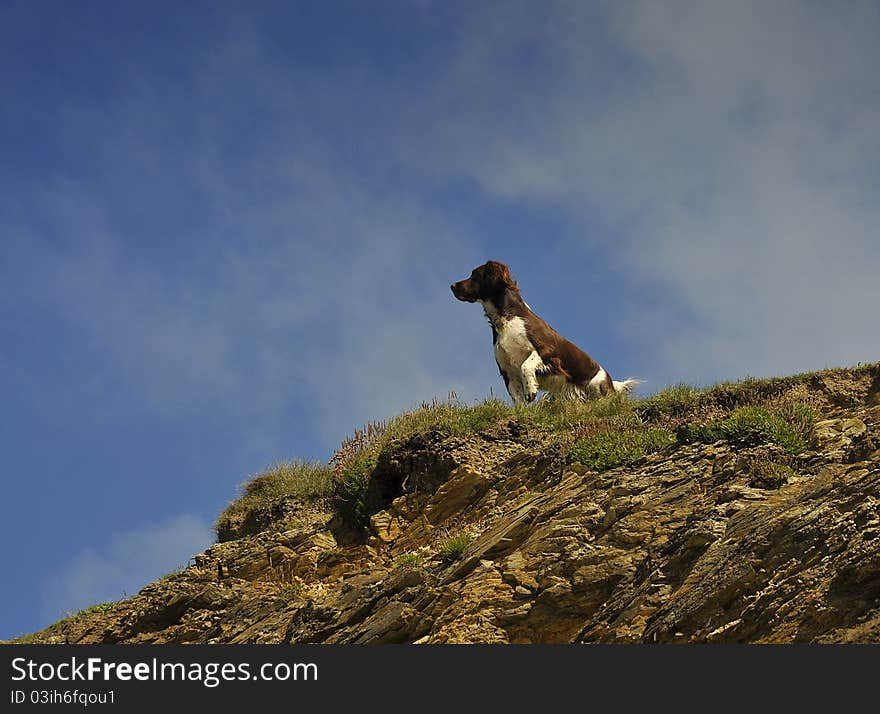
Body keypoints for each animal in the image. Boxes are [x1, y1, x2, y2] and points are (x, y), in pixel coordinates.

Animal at [454, 260, 640, 406]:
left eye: (475, 274)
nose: (452, 286)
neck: (506, 319)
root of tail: (610, 381)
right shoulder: (507, 371)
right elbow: (518, 400)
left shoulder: (548, 351)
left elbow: (526, 365)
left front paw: (531, 390)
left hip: (598, 386)